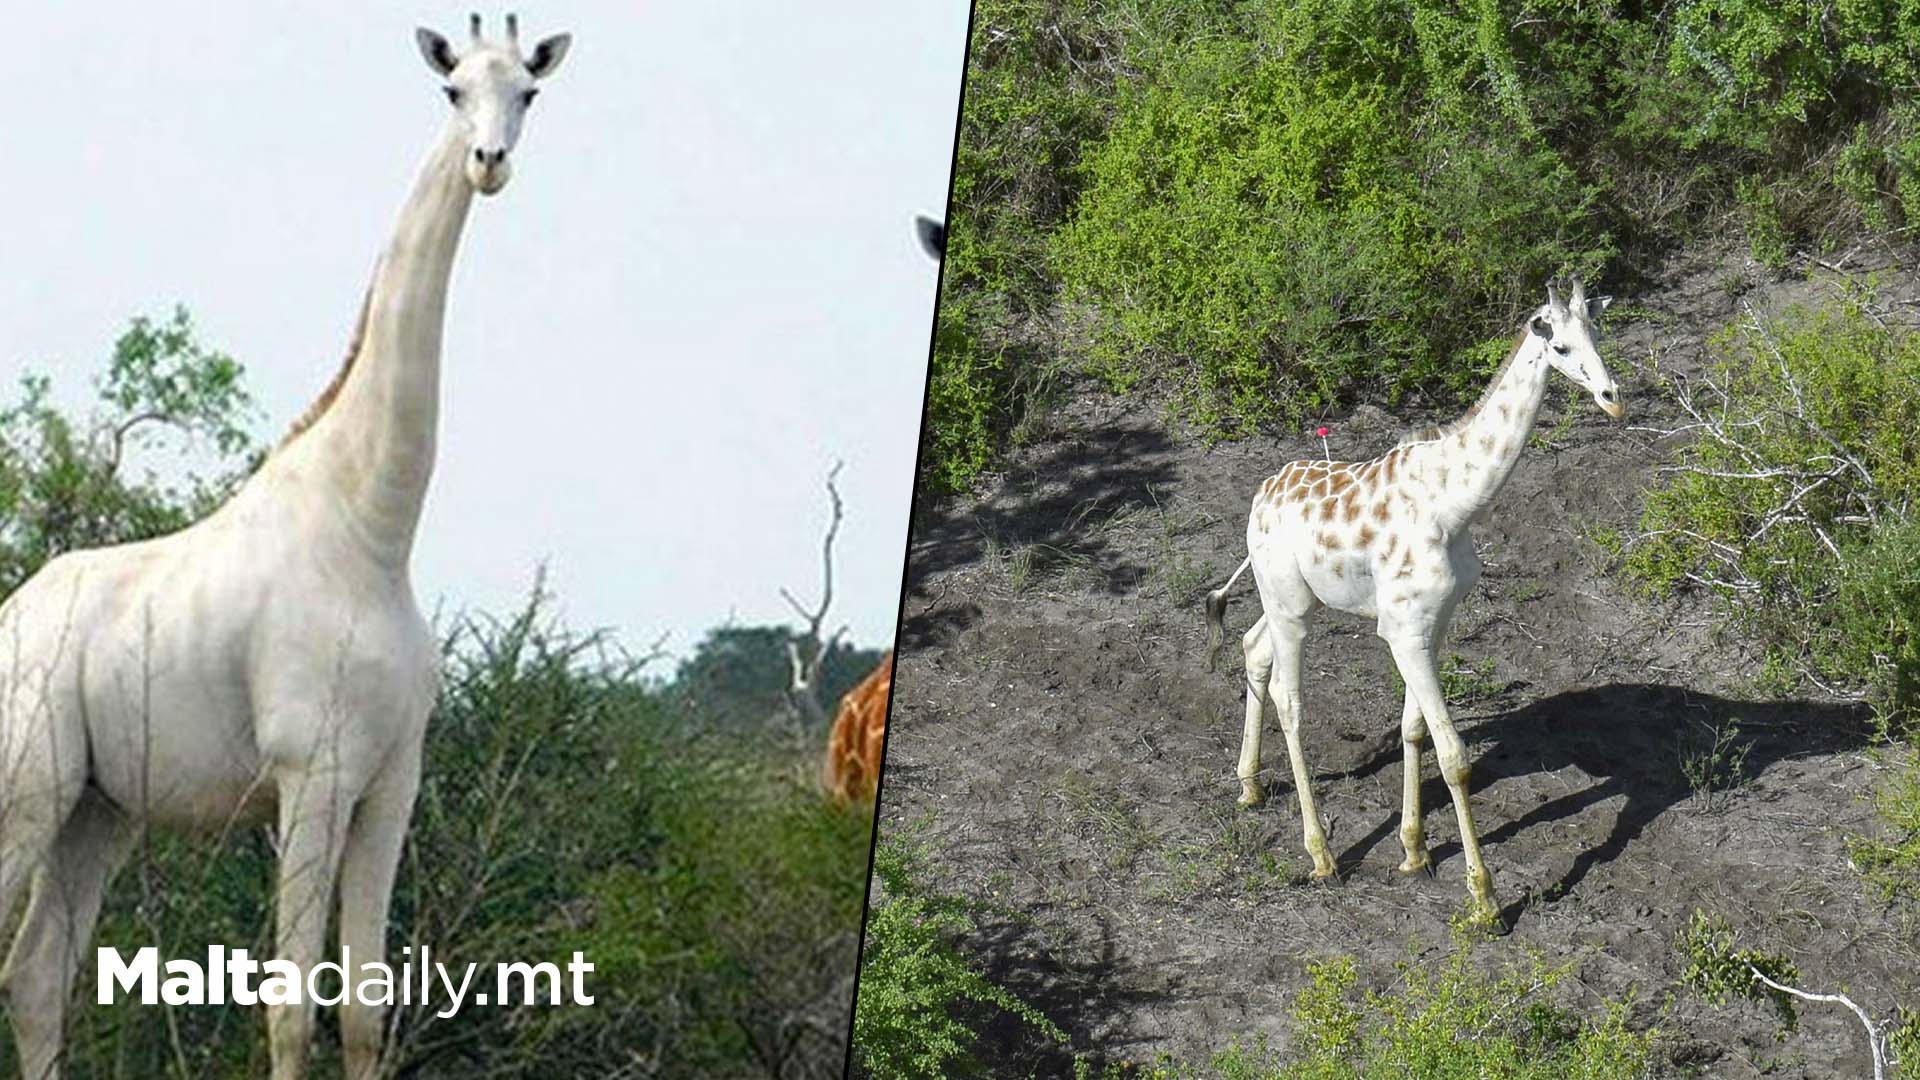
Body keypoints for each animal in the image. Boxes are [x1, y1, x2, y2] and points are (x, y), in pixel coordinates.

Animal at [0, 15, 570, 1079]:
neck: (372, 532)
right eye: (452, 90)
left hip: (97, 810)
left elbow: (366, 1007)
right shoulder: (313, 775)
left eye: (528, 92)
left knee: (37, 975)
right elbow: (290, 1004)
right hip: (30, 787)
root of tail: (13, 615)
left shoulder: (391, 785)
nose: (489, 163)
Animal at [1203, 280, 1620, 922]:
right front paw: (1484, 901)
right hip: (1289, 605)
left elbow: (1413, 730)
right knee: (1289, 699)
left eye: (1598, 334)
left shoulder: (1433, 624)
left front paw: (1415, 851)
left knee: (1253, 648)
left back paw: (1249, 786)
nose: (1612, 398)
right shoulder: (1403, 628)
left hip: (1292, 599)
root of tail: (1258, 499)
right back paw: (1321, 855)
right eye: (1561, 346)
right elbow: (1454, 757)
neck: (1454, 504)